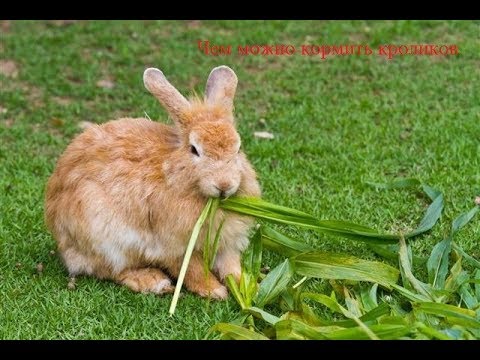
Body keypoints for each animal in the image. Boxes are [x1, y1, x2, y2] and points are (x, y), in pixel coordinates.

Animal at [44, 66, 262, 300]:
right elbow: (191, 270)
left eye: (238, 148)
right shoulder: (173, 246)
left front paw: (249, 288)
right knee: (110, 270)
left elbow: (231, 267)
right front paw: (215, 291)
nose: (224, 185)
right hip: (103, 237)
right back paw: (153, 282)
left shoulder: (226, 244)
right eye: (194, 149)